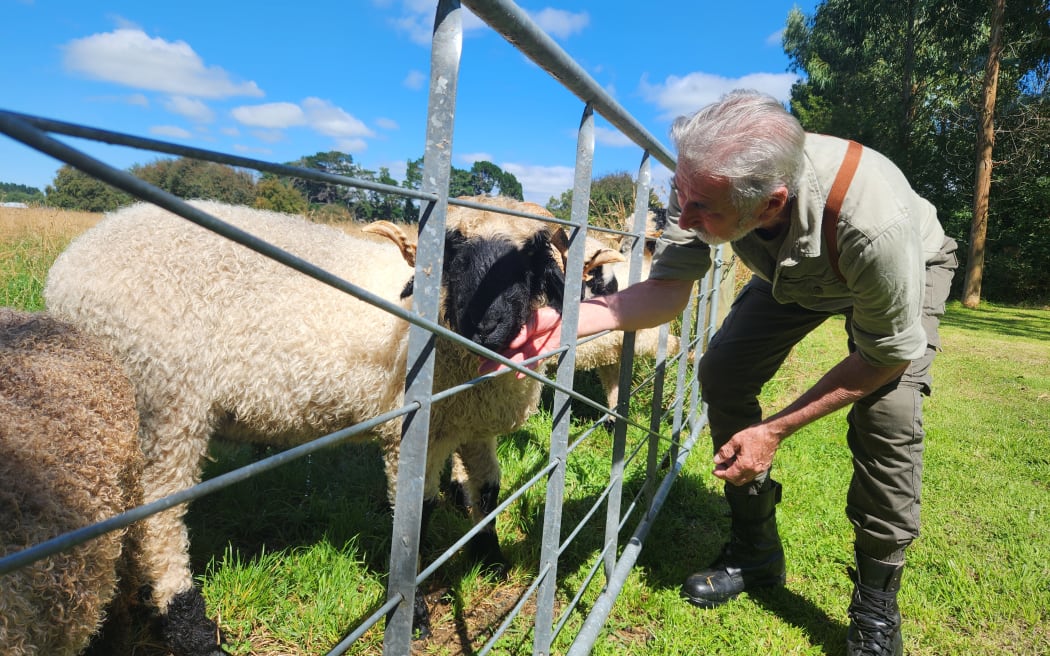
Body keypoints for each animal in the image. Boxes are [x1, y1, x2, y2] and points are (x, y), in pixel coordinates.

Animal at [43, 197, 566, 655]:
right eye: (453, 254)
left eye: (528, 261)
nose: (483, 326)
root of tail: (67, 270)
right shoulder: (413, 430)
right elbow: (415, 517)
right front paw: (415, 612)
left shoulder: (473, 424)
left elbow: (488, 488)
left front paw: (491, 558)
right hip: (167, 400)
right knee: (159, 520)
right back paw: (191, 629)